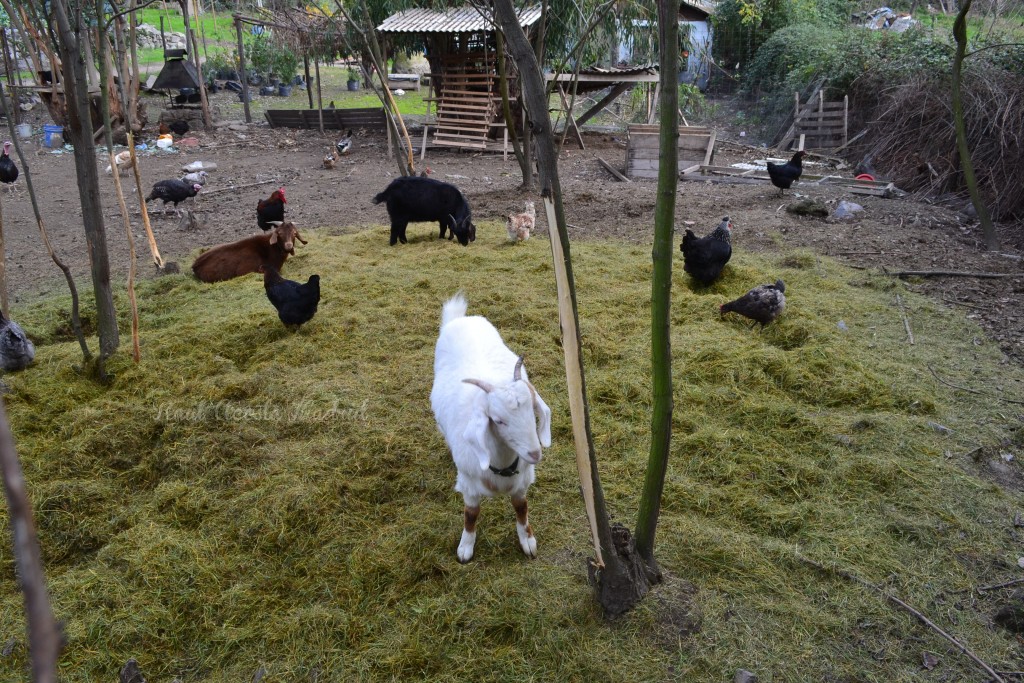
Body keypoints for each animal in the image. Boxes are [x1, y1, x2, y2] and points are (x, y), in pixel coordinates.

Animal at [428, 290, 552, 565]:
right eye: (498, 420)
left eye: (532, 411)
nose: (534, 454)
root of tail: (461, 319)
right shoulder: (469, 486)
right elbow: (471, 514)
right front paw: (465, 548)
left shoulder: (522, 483)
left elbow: (521, 508)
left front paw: (527, 541)